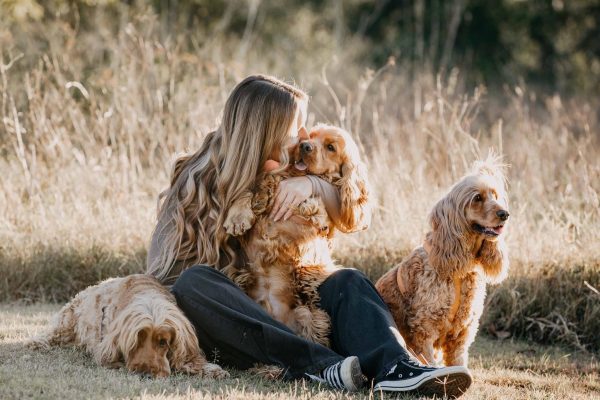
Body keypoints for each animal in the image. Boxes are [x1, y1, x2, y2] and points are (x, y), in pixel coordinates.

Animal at [25, 274, 229, 380]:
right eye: (136, 341)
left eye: (163, 342)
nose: (144, 374)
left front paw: (211, 370)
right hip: (69, 317)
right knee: (54, 333)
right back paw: (37, 343)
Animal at [378, 158, 508, 368]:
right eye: (477, 198)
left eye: (495, 196)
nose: (505, 214)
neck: (461, 273)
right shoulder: (425, 330)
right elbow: (429, 360)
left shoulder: (461, 336)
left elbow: (459, 363)